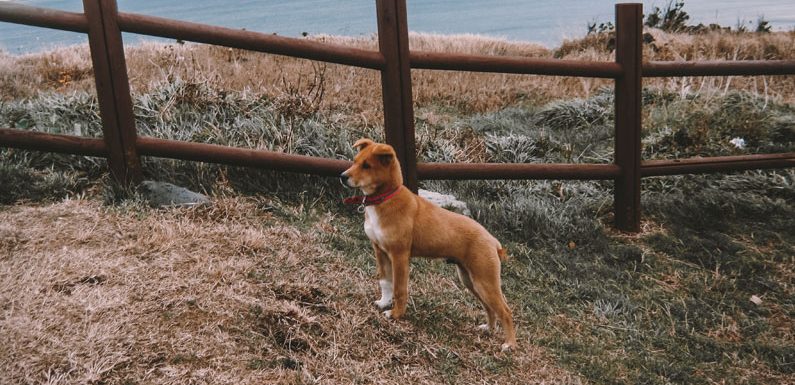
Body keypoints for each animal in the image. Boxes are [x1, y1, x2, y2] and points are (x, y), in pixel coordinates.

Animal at [340, 138, 516, 352]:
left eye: (367, 165)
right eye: (355, 161)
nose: (342, 177)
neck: (385, 199)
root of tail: (493, 241)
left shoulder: (399, 256)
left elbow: (399, 288)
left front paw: (396, 315)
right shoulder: (380, 251)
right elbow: (385, 281)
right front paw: (383, 303)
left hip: (485, 281)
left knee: (506, 310)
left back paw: (509, 344)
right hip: (471, 280)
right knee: (490, 307)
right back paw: (488, 329)